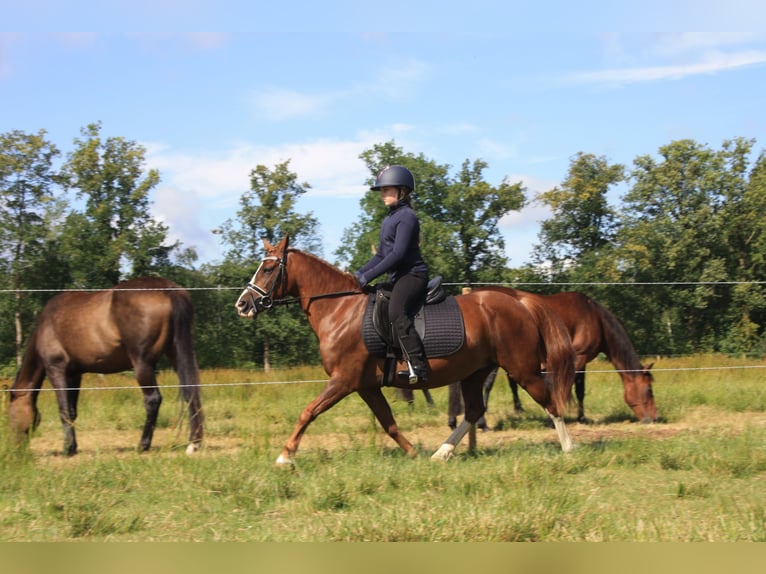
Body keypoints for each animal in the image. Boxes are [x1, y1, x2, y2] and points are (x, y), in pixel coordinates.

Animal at [9, 280, 206, 460]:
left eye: (10, 415)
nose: (17, 451)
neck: (46, 325)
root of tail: (167, 288)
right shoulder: (74, 375)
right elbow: (72, 411)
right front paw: (73, 446)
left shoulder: (56, 369)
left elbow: (64, 410)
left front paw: (68, 449)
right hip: (176, 354)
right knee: (190, 393)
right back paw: (194, 444)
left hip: (142, 364)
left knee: (153, 400)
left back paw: (143, 445)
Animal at [234, 236, 576, 466]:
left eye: (268, 269)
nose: (242, 305)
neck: (339, 308)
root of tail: (519, 300)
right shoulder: (365, 386)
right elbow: (389, 422)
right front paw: (412, 453)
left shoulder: (343, 381)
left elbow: (309, 411)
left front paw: (285, 456)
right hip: (476, 372)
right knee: (474, 410)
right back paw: (441, 453)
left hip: (521, 368)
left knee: (550, 401)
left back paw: (569, 449)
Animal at [450, 290, 660, 430]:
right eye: (649, 390)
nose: (654, 418)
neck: (594, 316)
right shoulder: (579, 357)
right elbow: (573, 387)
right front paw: (569, 418)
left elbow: (577, 389)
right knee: (484, 385)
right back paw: (481, 423)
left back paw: (454, 420)